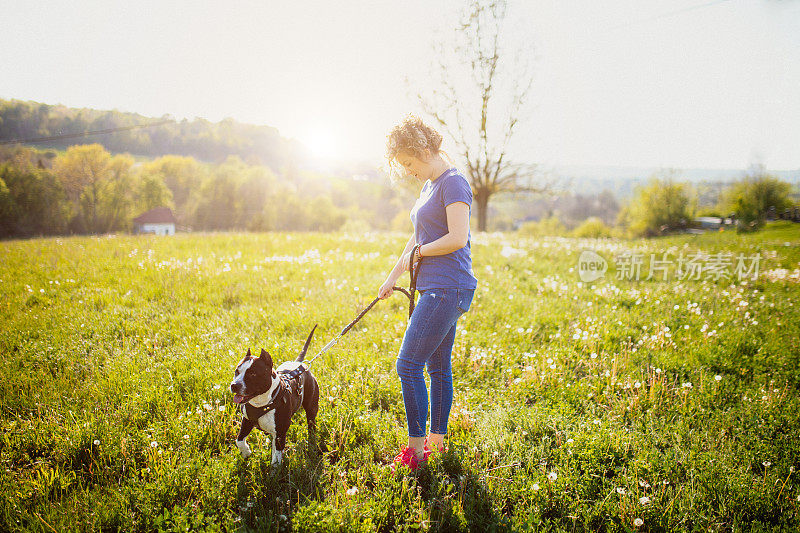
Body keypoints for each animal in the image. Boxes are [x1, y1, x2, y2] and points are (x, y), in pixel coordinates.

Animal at [230, 322, 320, 464]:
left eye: (253, 374)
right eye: (237, 371)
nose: (234, 385)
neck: (262, 403)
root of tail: (299, 363)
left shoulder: (280, 433)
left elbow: (276, 459)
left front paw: (274, 470)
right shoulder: (247, 421)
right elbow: (239, 440)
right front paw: (246, 452)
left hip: (311, 407)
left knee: (311, 424)